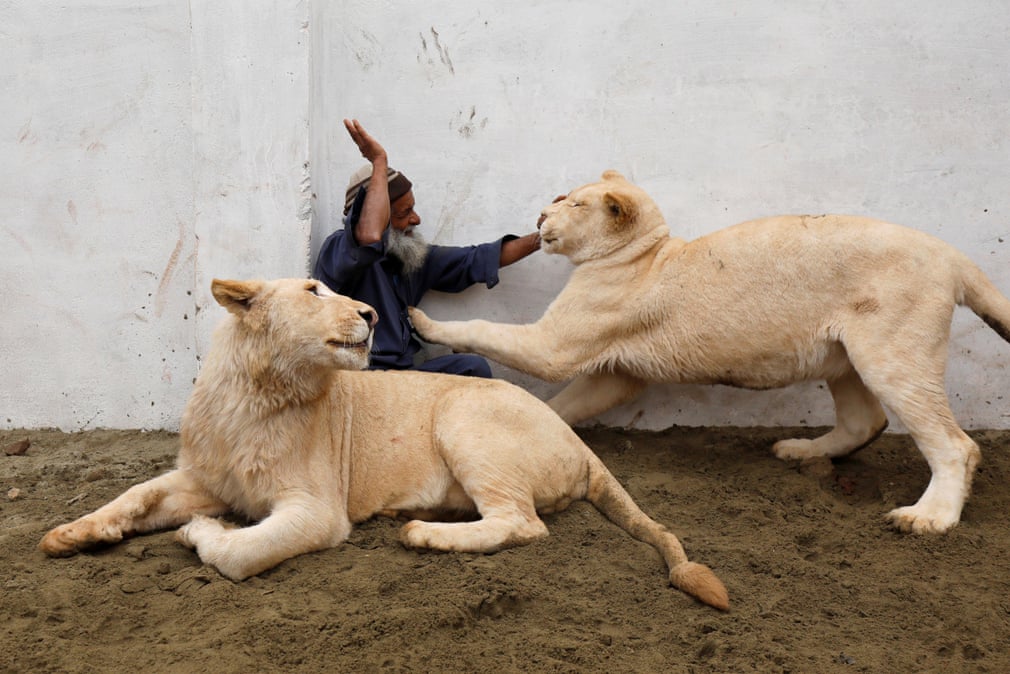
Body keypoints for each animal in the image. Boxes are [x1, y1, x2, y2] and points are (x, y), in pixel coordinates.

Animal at [39, 277, 728, 610]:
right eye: (313, 290)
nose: (371, 313)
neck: (258, 394)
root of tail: (580, 445)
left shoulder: (318, 511)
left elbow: (240, 553)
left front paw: (202, 533)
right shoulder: (204, 475)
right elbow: (135, 494)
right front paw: (71, 535)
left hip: (464, 418)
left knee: (523, 524)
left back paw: (422, 532)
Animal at [409, 170, 1010, 536]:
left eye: (573, 203)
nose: (538, 217)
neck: (644, 251)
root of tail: (954, 256)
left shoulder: (557, 345)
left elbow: (489, 329)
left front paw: (422, 319)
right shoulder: (616, 370)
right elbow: (564, 406)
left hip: (892, 350)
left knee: (954, 444)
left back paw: (928, 517)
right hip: (843, 353)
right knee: (866, 420)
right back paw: (801, 451)